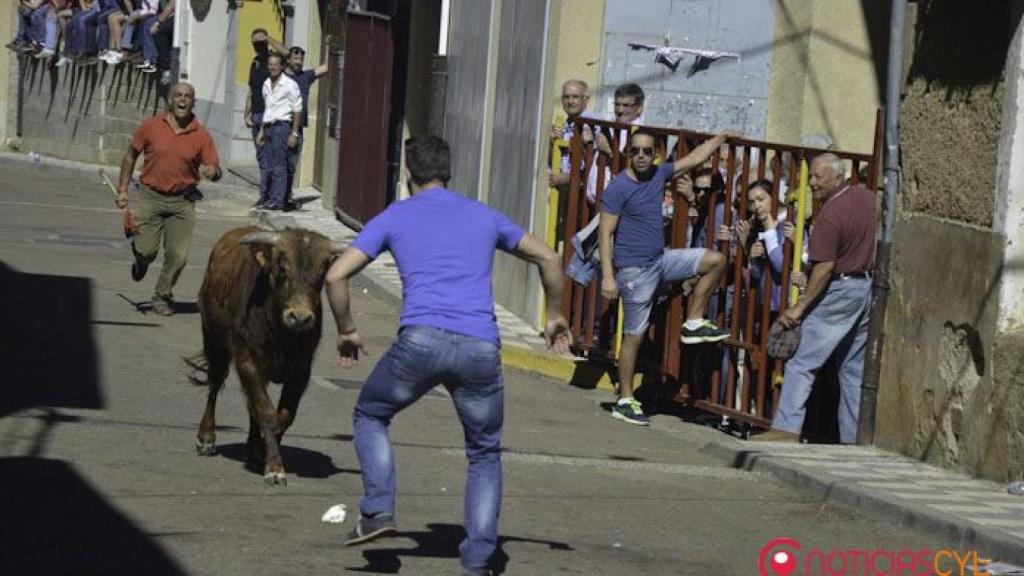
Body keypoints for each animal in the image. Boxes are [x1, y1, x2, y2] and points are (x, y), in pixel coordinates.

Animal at [185, 226, 344, 481]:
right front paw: (274, 469)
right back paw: (206, 438)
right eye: (282, 268)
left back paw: (252, 449)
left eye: (322, 272)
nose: (300, 318)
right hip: (214, 341)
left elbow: (282, 416)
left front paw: (263, 453)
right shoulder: (249, 363)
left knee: (252, 406)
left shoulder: (301, 372)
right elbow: (267, 413)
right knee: (214, 385)